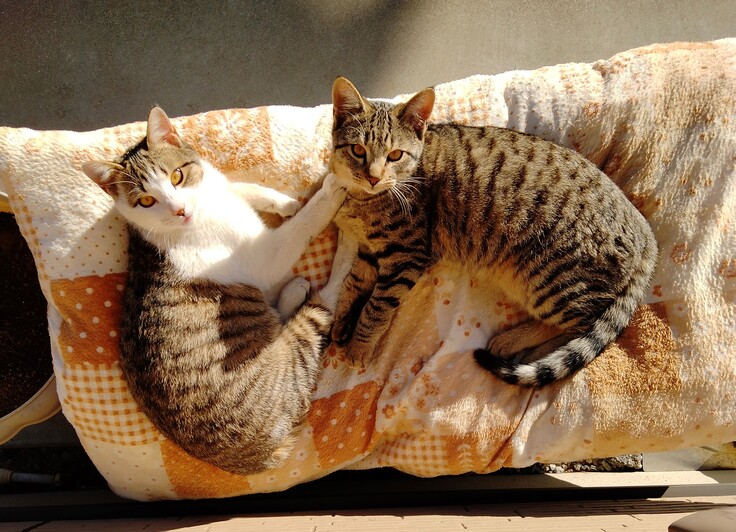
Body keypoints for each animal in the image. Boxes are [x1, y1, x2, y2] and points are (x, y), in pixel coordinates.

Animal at [82, 106, 356, 474]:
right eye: (146, 201)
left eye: (177, 176)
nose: (180, 210)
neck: (205, 208)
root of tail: (257, 459)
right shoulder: (265, 256)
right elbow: (303, 226)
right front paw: (330, 190)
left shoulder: (223, 188)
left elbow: (244, 188)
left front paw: (285, 202)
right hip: (294, 348)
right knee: (322, 306)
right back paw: (342, 255)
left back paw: (292, 291)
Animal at [328, 77, 658, 387]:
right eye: (357, 150)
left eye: (395, 155)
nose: (373, 177)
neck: (363, 198)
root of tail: (645, 233)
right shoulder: (371, 251)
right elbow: (353, 283)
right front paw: (342, 323)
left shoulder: (407, 255)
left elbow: (376, 307)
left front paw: (359, 345)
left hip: (551, 278)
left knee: (587, 330)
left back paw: (521, 347)